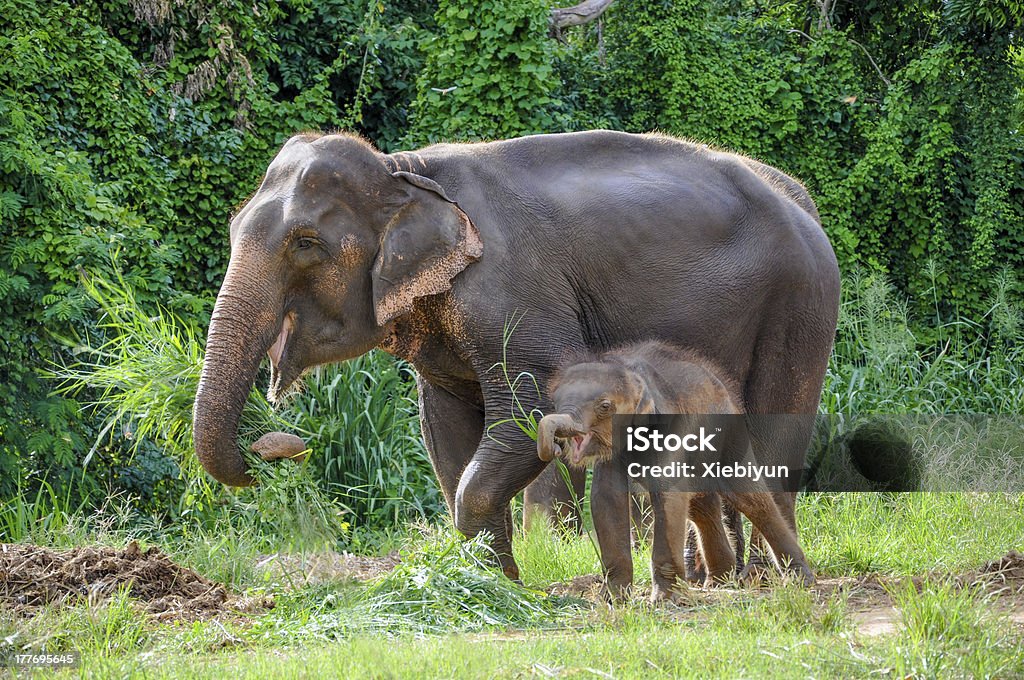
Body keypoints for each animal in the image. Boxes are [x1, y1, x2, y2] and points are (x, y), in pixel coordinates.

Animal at [536, 340, 815, 602]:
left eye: (605, 406)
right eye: (555, 401)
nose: (556, 445)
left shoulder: (672, 428)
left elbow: (668, 495)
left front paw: (664, 600)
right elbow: (607, 498)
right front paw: (613, 599)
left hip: (730, 435)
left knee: (753, 500)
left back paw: (801, 580)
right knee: (701, 507)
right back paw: (718, 582)